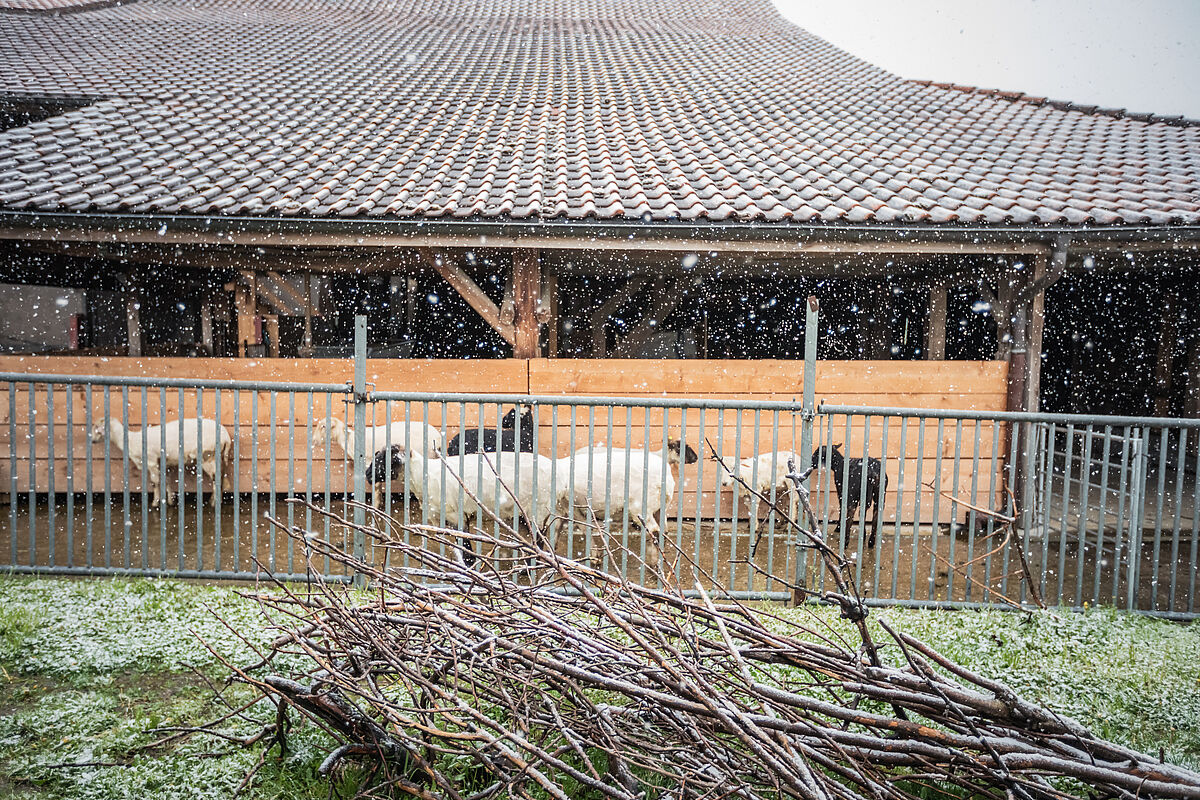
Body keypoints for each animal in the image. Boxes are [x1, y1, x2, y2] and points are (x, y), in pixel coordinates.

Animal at [88, 419, 231, 506]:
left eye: (97, 427)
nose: (93, 441)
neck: (131, 440)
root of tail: (226, 437)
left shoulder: (151, 461)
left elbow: (155, 482)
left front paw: (155, 503)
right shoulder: (163, 463)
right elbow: (166, 480)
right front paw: (170, 500)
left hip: (207, 455)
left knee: (216, 478)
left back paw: (214, 503)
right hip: (217, 456)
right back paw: (215, 500)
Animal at [549, 438, 700, 575]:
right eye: (680, 448)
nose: (696, 458)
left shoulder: (571, 506)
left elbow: (580, 527)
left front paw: (594, 556)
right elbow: (557, 527)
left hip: (641, 507)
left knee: (654, 531)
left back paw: (652, 563)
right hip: (659, 508)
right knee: (662, 531)